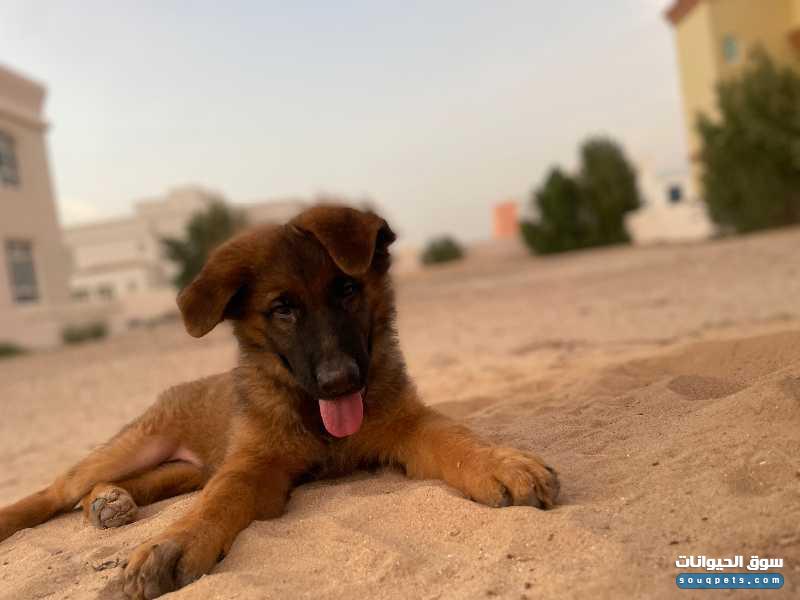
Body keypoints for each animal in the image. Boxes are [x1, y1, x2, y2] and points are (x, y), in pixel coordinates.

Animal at [0, 205, 559, 599]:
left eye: (348, 289)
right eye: (282, 310)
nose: (339, 382)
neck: (315, 416)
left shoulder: (408, 424)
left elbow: (456, 439)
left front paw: (502, 463)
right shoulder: (251, 464)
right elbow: (220, 500)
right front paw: (176, 542)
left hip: (186, 469)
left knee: (129, 482)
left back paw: (110, 502)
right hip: (138, 445)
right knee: (56, 490)